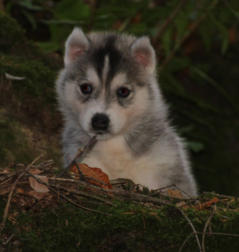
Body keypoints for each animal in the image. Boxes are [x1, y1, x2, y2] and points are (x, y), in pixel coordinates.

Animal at [56, 28, 198, 197]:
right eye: (85, 88)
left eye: (123, 91)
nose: (100, 121)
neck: (114, 145)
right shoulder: (83, 162)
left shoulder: (163, 163)